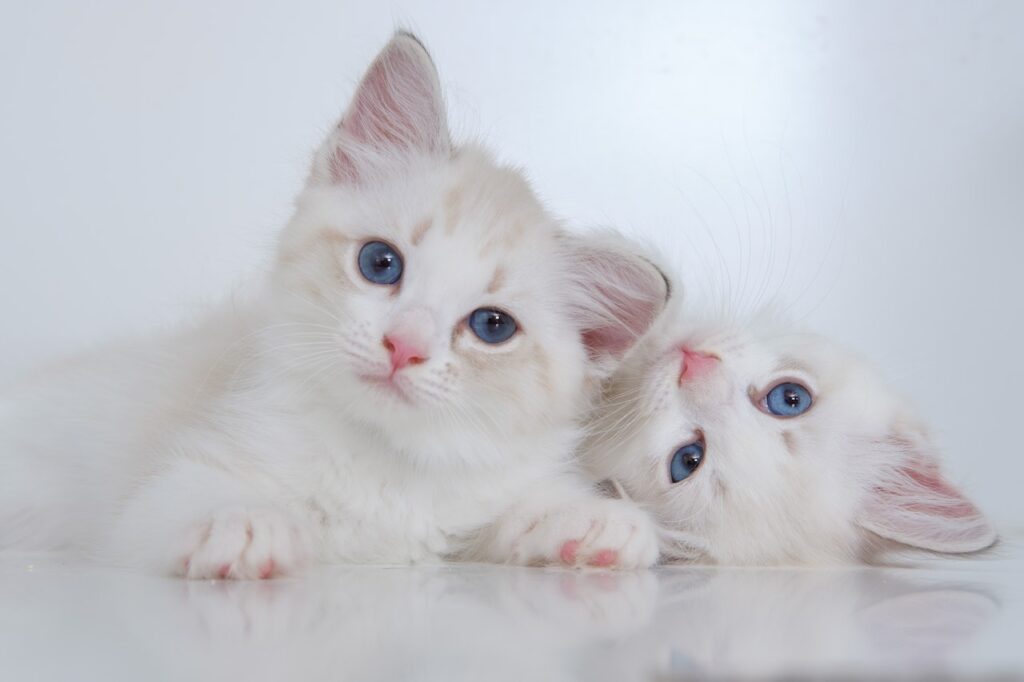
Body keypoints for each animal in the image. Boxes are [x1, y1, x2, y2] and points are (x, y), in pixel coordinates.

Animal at [0, 31, 667, 573]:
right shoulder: (156, 491)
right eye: (380, 264)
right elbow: (181, 504)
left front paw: (586, 520)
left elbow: (506, 520)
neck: (378, 464)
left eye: (492, 326)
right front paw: (243, 526)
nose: (403, 346)